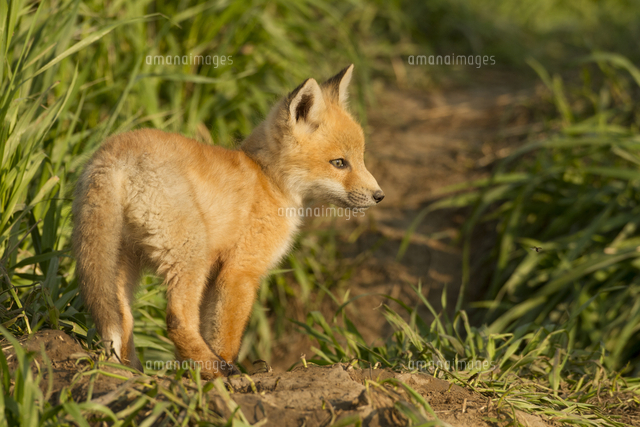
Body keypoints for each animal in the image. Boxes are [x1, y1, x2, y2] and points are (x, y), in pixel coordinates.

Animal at [72, 64, 384, 378]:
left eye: (361, 158)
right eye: (339, 163)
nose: (379, 195)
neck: (268, 178)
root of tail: (116, 155)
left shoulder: (218, 273)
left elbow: (208, 330)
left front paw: (193, 376)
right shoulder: (241, 270)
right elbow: (226, 336)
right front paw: (225, 372)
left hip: (122, 263)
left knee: (122, 322)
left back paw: (129, 372)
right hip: (190, 254)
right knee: (176, 319)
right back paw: (217, 371)